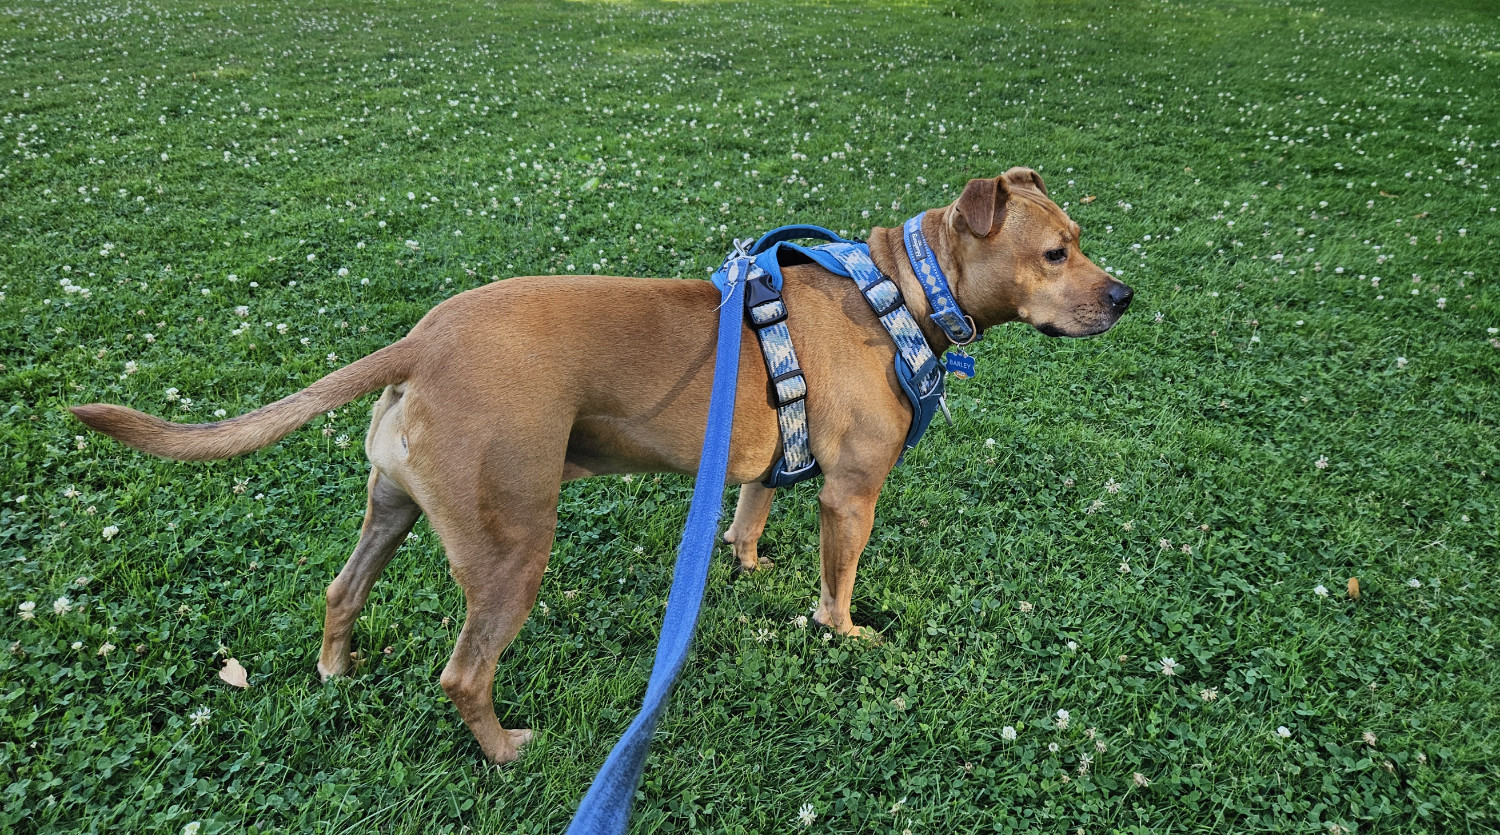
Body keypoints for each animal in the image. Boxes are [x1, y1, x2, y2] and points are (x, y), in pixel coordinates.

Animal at [67, 167, 1128, 761]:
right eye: (1054, 252)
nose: (1123, 294)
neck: (903, 289)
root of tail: (420, 341)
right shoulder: (853, 492)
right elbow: (839, 584)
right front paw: (846, 633)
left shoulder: (759, 465)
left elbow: (748, 516)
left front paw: (747, 565)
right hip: (512, 547)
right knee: (463, 673)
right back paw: (505, 750)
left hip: (392, 507)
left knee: (341, 588)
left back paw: (336, 669)